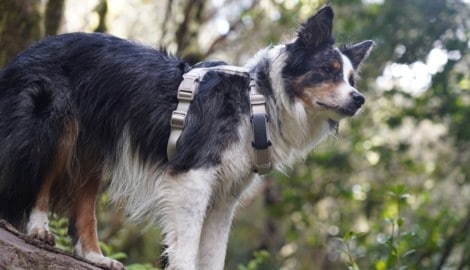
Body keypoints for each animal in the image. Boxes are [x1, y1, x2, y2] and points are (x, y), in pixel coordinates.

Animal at [0, 4, 374, 270]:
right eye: (326, 71)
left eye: (351, 79)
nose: (359, 99)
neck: (258, 102)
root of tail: (23, 54)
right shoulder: (192, 178)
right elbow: (187, 246)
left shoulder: (225, 196)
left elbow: (213, 254)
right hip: (54, 126)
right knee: (41, 180)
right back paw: (39, 229)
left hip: (95, 147)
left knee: (82, 207)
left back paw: (95, 256)